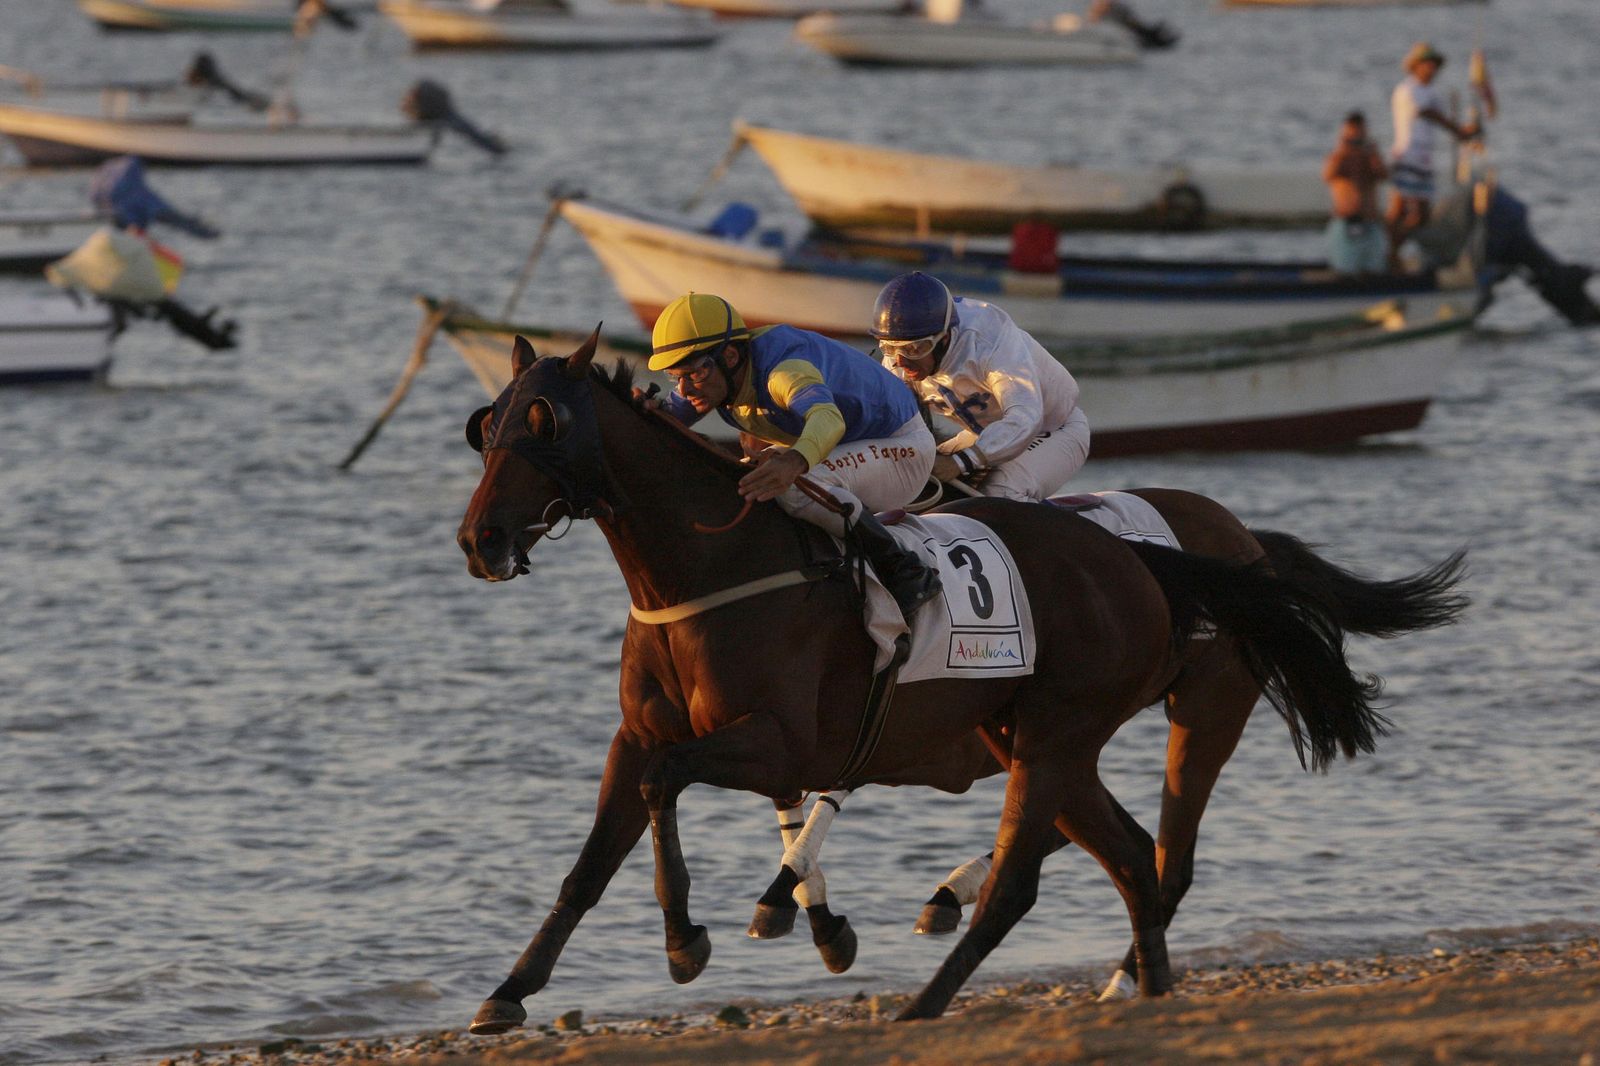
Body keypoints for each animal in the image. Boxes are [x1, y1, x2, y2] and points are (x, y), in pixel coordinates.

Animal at [454, 330, 1467, 1032]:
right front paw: (509, 992)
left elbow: (676, 789)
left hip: (1134, 722)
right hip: (1033, 735)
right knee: (1132, 854)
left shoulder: (779, 745)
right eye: (487, 423)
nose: (480, 538)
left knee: (1063, 872)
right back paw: (1141, 987)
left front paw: (687, 939)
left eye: (545, 423)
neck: (713, 565)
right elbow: (590, 864)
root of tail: (1153, 559)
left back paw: (933, 996)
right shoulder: (639, 737)